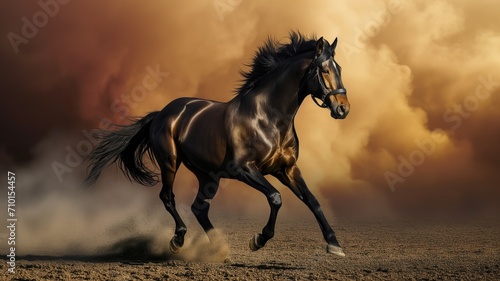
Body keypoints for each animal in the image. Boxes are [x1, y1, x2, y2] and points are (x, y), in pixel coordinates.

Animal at [86, 31, 350, 258]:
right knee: (168, 197)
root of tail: (162, 112)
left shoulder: (287, 169)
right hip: (170, 162)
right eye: (324, 70)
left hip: (207, 174)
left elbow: (313, 201)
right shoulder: (244, 169)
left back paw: (219, 247)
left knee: (199, 207)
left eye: (339, 68)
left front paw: (334, 245)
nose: (343, 109)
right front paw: (258, 240)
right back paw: (179, 240)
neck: (268, 117)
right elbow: (275, 197)